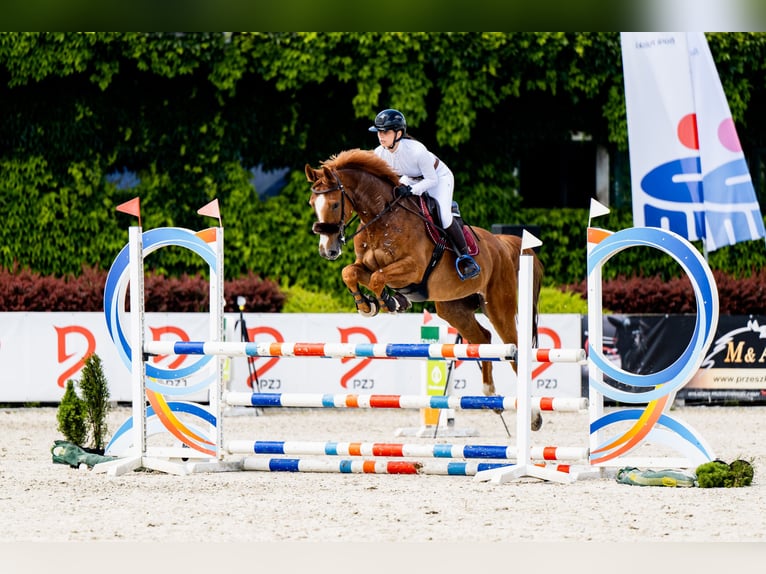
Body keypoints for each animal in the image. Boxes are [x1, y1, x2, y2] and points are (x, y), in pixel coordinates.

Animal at [306, 151, 544, 430]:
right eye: (312, 203)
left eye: (334, 204)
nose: (328, 250)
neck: (381, 220)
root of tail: (502, 244)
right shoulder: (365, 265)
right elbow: (351, 272)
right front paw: (368, 305)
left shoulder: (413, 269)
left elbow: (377, 278)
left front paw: (388, 302)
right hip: (453, 308)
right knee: (484, 338)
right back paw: (490, 396)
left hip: (498, 305)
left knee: (513, 346)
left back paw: (533, 416)